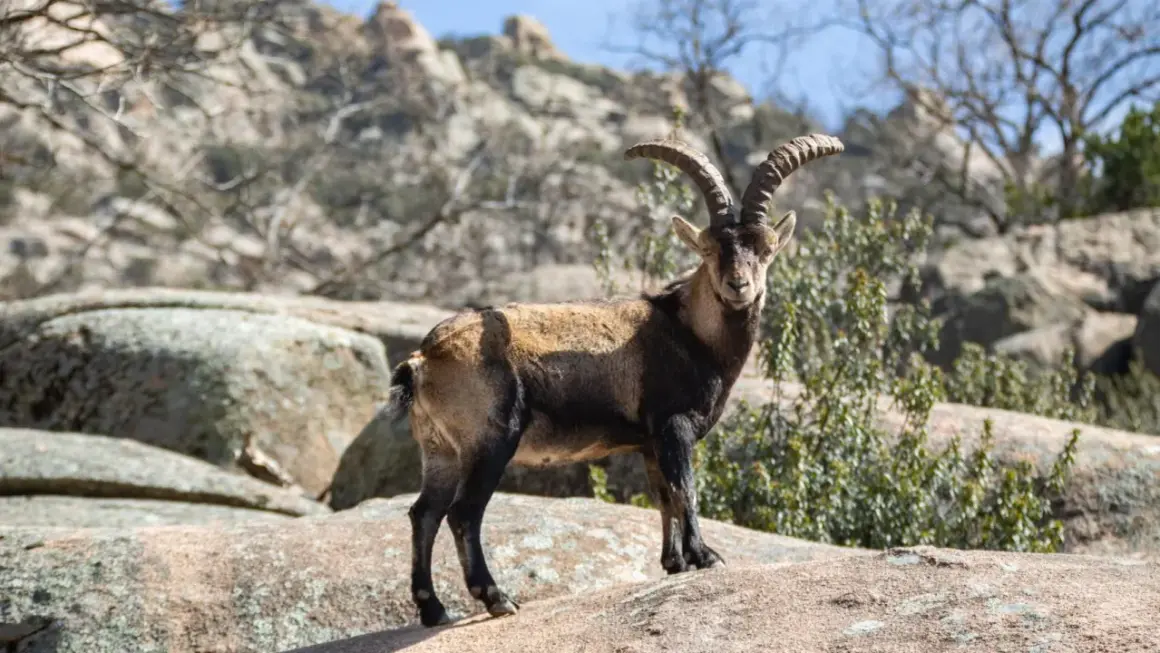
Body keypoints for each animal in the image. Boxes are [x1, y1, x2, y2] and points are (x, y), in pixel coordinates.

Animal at [385, 133, 845, 627]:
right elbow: (686, 489)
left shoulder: (649, 442)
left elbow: (663, 496)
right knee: (462, 514)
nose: (738, 286)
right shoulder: (674, 426)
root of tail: (423, 358)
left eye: (765, 248)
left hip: (441, 451)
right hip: (489, 442)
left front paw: (675, 563)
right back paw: (496, 597)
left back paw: (434, 609)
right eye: (709, 249)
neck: (687, 331)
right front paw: (705, 556)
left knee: (423, 514)